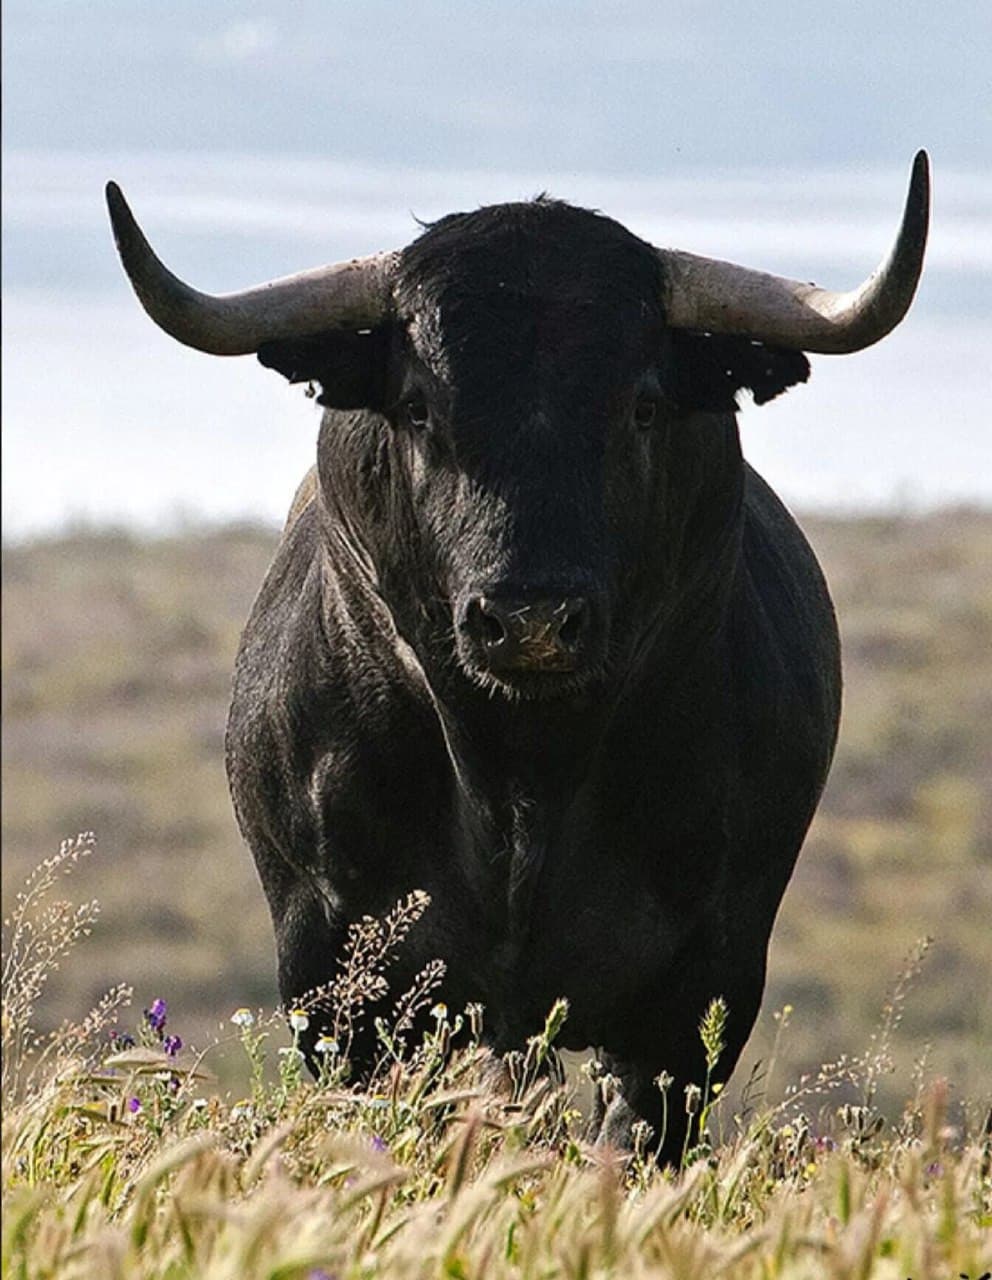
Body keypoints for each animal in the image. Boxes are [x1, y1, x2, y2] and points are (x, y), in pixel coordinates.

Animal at [106, 160, 931, 1162]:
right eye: (419, 405)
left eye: (642, 404)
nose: (529, 619)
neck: (521, 780)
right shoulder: (336, 972)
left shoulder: (704, 981)